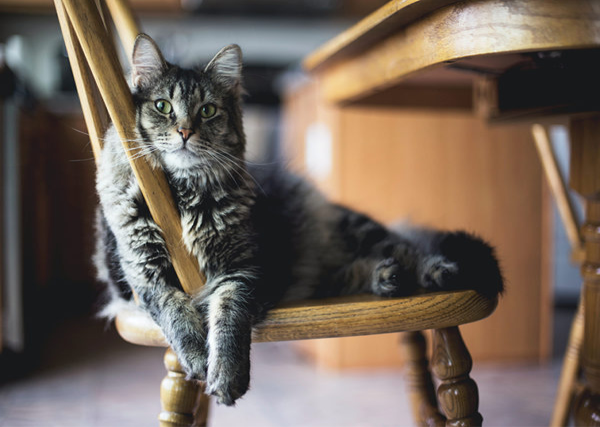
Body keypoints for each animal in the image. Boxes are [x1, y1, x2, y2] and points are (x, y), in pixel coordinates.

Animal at [95, 33, 506, 408]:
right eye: (162, 106)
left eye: (208, 111)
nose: (184, 132)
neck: (182, 195)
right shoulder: (144, 274)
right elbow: (175, 312)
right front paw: (197, 358)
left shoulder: (243, 271)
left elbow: (228, 319)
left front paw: (226, 374)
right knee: (352, 271)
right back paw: (385, 278)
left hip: (358, 232)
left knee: (408, 248)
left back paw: (434, 272)